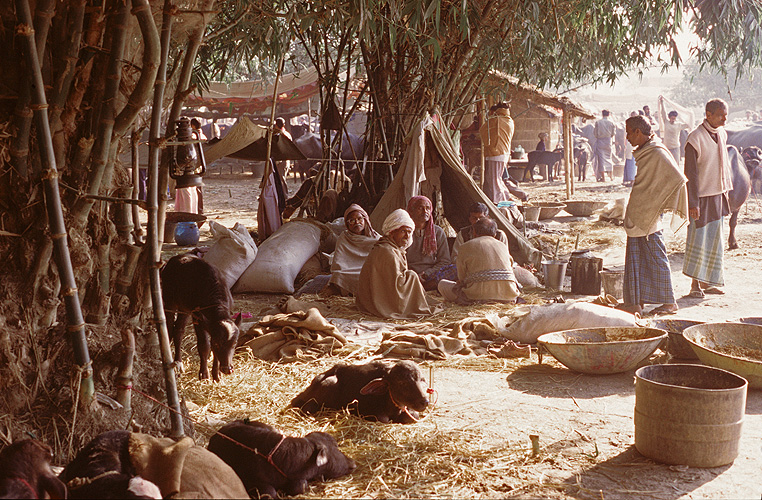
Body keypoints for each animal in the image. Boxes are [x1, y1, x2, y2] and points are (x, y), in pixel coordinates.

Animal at [161, 252, 240, 380]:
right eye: (218, 343)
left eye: (234, 344)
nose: (227, 369)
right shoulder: (197, 317)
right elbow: (204, 345)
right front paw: (204, 374)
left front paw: (216, 374)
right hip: (169, 302)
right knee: (168, 327)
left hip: (184, 309)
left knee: (179, 330)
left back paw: (178, 363)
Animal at [290, 358, 430, 424]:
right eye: (402, 383)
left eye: (422, 380)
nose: (425, 402)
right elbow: (383, 419)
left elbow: (413, 416)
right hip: (326, 385)